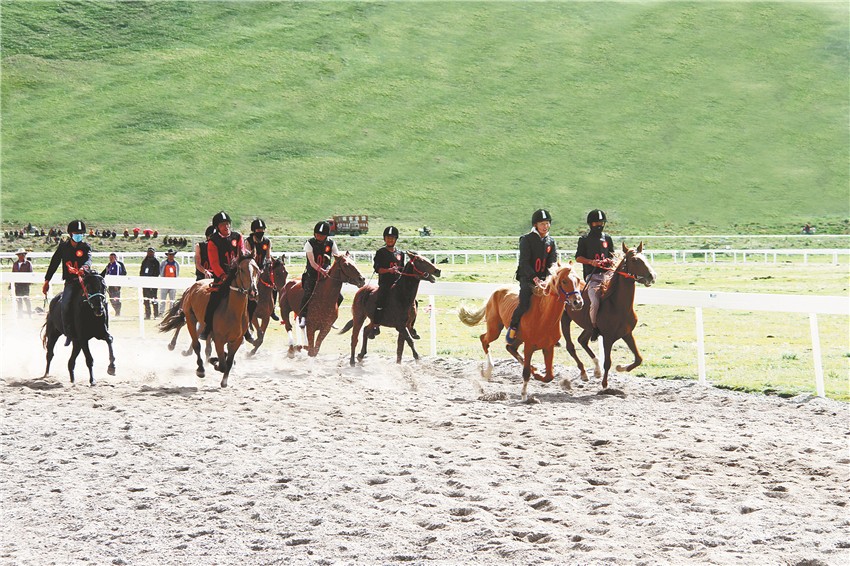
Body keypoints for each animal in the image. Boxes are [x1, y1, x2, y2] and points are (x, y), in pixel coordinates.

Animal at [160, 254, 259, 387]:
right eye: (241, 269)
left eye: (257, 269)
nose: (253, 291)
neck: (233, 312)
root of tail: (192, 287)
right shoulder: (219, 339)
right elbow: (222, 364)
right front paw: (214, 362)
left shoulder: (236, 340)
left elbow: (229, 361)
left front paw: (224, 380)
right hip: (191, 318)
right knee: (195, 343)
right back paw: (200, 368)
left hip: (202, 323)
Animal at [458, 264, 584, 401]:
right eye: (564, 281)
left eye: (578, 280)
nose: (578, 302)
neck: (543, 316)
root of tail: (496, 291)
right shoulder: (528, 346)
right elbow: (526, 372)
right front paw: (524, 395)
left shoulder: (548, 347)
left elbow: (549, 376)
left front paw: (538, 375)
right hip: (494, 329)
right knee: (484, 339)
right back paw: (487, 370)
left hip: (516, 338)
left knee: (509, 347)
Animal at [561, 242, 656, 389]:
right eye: (635, 260)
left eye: (645, 257)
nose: (652, 276)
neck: (617, 305)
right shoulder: (607, 337)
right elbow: (608, 362)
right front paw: (605, 384)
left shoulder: (627, 334)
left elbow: (638, 359)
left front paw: (621, 367)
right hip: (565, 319)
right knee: (570, 347)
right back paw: (584, 373)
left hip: (589, 327)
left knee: (582, 340)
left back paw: (596, 370)